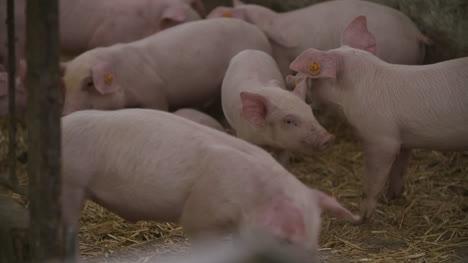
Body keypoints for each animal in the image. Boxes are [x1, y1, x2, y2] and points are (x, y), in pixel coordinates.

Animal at [288, 16, 468, 223]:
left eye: (313, 75)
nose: (291, 77)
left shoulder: (381, 139)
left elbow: (374, 178)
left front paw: (362, 217)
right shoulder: (404, 139)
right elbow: (399, 168)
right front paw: (392, 197)